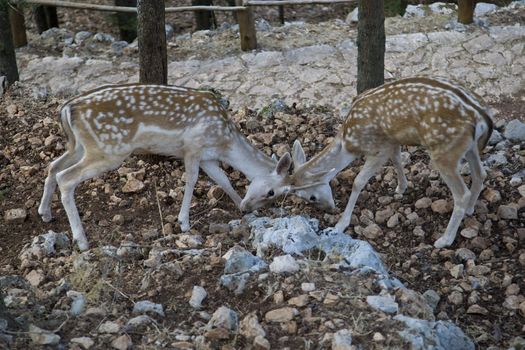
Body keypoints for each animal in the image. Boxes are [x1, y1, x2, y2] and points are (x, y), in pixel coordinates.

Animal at [39, 83, 318, 250]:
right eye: (273, 192)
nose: (250, 208)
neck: (226, 141)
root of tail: (67, 109)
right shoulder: (193, 147)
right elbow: (191, 179)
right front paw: (184, 223)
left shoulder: (208, 157)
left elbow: (223, 179)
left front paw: (239, 204)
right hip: (109, 148)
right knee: (66, 177)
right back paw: (82, 240)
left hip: (78, 145)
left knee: (53, 166)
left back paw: (45, 213)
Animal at [239, 76, 494, 249]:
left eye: (310, 197)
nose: (329, 208)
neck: (347, 142)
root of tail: (481, 115)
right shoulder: (391, 140)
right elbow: (397, 158)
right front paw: (400, 188)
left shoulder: (376, 148)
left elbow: (358, 182)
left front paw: (340, 224)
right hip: (469, 147)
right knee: (481, 173)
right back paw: (471, 208)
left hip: (444, 151)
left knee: (460, 192)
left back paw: (444, 239)